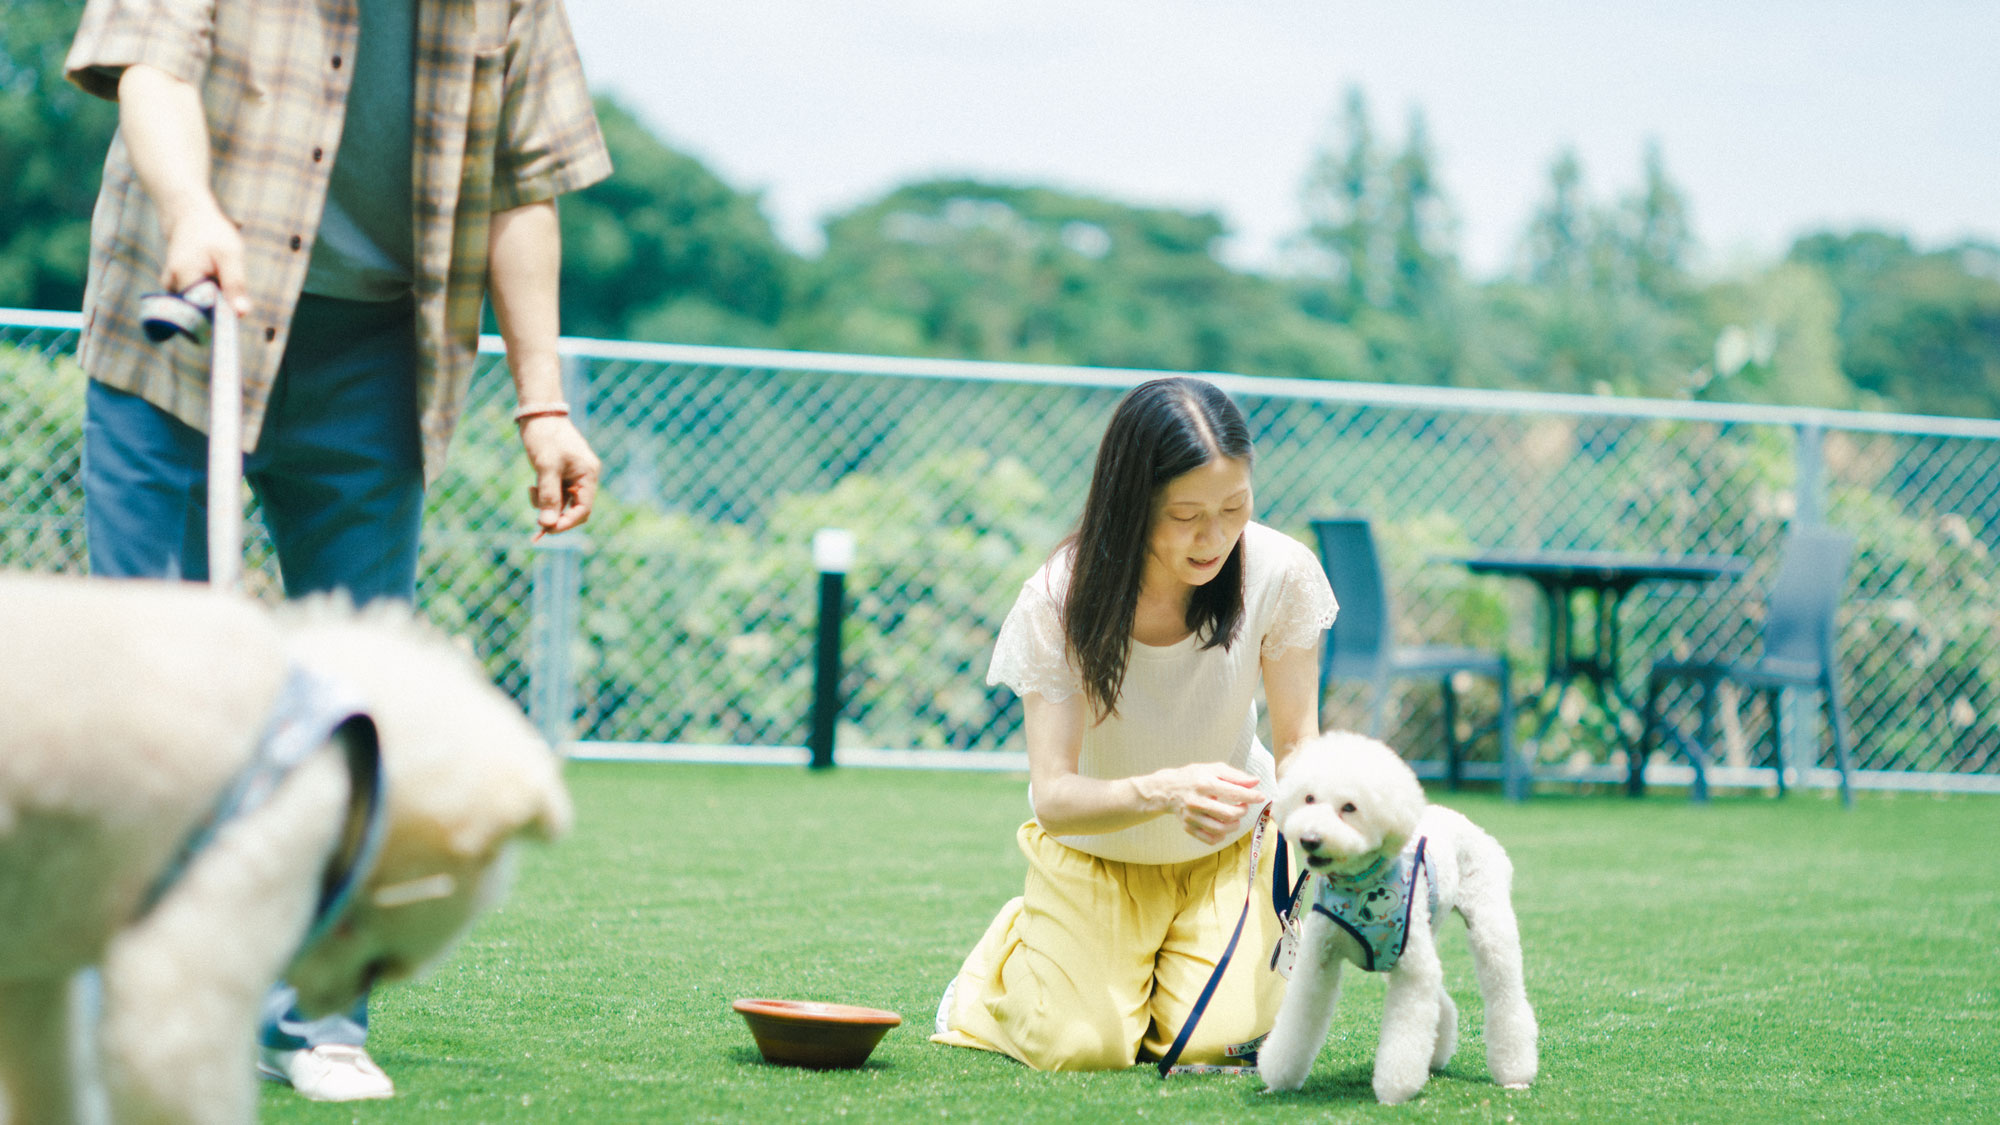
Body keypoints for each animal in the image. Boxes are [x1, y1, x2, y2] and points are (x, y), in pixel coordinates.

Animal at [1256, 728, 1536, 1104]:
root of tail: (1462, 820)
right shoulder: (1318, 960)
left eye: (1350, 808)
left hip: (1487, 924)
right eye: (1309, 798)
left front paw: (1395, 1088)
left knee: (1505, 993)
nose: (1310, 839)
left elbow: (1405, 1031)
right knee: (1442, 1001)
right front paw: (1279, 1076)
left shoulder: (1410, 973)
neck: (1361, 884)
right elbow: (1299, 1018)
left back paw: (1514, 1071)